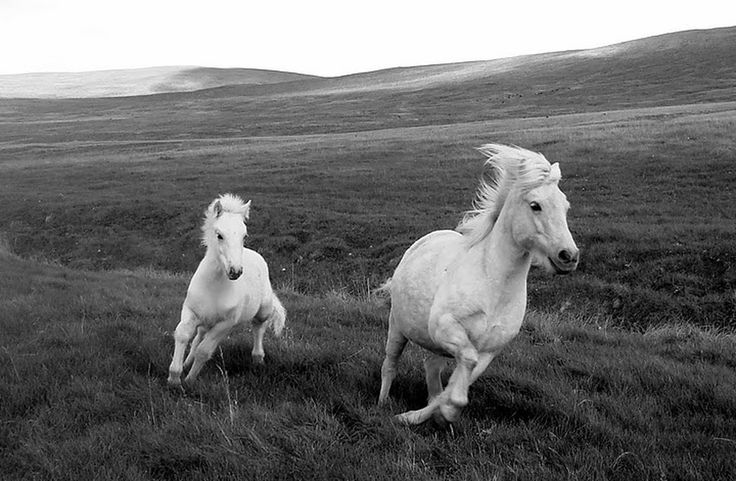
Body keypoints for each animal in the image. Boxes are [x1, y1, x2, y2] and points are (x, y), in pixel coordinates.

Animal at [168, 193, 286, 384]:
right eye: (219, 235)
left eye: (244, 236)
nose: (235, 271)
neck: (214, 287)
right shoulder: (191, 311)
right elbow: (183, 335)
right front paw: (174, 377)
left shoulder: (225, 324)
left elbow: (204, 350)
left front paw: (190, 380)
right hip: (205, 321)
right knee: (199, 335)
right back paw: (187, 362)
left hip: (263, 311)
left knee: (258, 328)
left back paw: (258, 359)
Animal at [380, 143, 580, 424]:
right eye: (535, 205)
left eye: (565, 206)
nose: (569, 256)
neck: (492, 286)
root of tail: (424, 240)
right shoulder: (445, 328)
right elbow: (463, 369)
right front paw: (415, 416)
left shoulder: (488, 351)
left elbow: (459, 381)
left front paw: (437, 414)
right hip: (397, 327)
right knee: (389, 365)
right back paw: (382, 404)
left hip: (437, 347)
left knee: (431, 368)